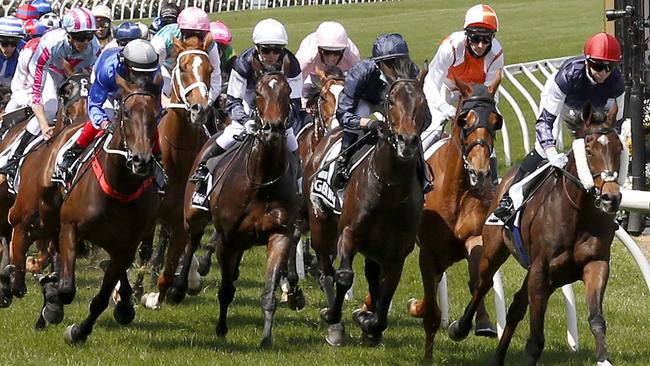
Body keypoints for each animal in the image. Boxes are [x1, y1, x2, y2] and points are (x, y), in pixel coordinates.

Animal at [175, 64, 302, 348]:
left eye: (288, 90)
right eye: (259, 92)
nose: (273, 129)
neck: (262, 182)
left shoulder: (280, 234)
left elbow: (268, 293)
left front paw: (266, 338)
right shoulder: (228, 238)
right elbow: (225, 290)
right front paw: (221, 328)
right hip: (193, 215)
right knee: (191, 240)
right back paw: (178, 287)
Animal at [306, 63, 428, 346]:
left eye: (423, 102)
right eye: (391, 101)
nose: (407, 141)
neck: (389, 189)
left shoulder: (397, 252)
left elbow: (386, 288)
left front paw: (369, 323)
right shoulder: (349, 232)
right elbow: (343, 276)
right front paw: (334, 317)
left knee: (372, 276)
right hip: (319, 223)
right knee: (326, 270)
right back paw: (334, 324)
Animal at [404, 76, 502, 358]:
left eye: (496, 121)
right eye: (464, 120)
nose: (480, 170)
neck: (455, 191)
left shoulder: (473, 236)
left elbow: (479, 281)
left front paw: (472, 325)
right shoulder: (428, 252)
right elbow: (430, 314)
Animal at [446, 103, 624, 366]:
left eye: (619, 148)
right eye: (589, 150)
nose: (611, 198)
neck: (577, 214)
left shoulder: (595, 264)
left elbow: (596, 319)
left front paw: (603, 359)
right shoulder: (541, 272)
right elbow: (536, 339)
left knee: (516, 307)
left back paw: (498, 357)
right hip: (495, 250)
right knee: (483, 284)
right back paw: (460, 328)